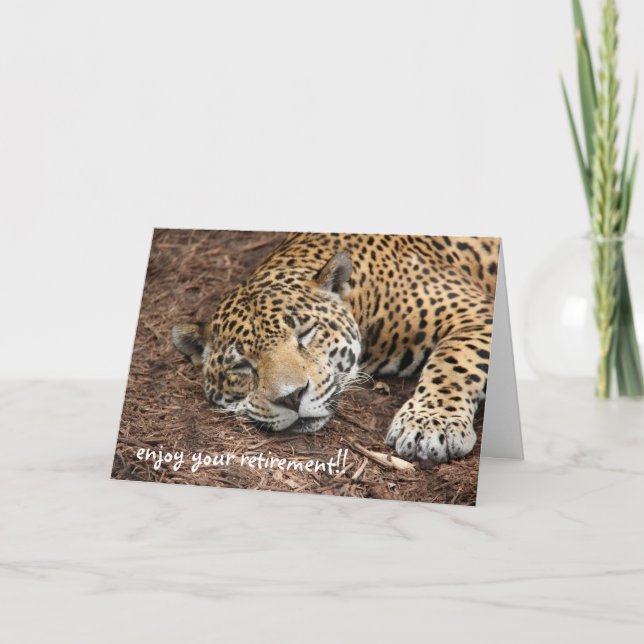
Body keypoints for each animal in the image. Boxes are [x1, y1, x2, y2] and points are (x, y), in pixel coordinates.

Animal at [172, 232, 499, 463]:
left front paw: (430, 425)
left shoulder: (475, 312)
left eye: (305, 333)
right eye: (241, 366)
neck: (363, 295)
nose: (292, 398)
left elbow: (453, 362)